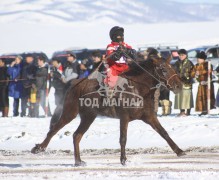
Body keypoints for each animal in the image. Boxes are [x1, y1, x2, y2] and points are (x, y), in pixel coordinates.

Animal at [30, 56, 185, 166]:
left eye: (173, 67)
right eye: (163, 69)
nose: (179, 85)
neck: (138, 88)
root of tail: (74, 83)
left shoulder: (149, 117)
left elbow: (164, 133)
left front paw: (179, 151)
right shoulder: (124, 117)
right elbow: (123, 138)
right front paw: (123, 159)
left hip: (88, 117)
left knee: (76, 135)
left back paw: (78, 161)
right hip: (70, 112)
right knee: (54, 129)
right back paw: (39, 148)